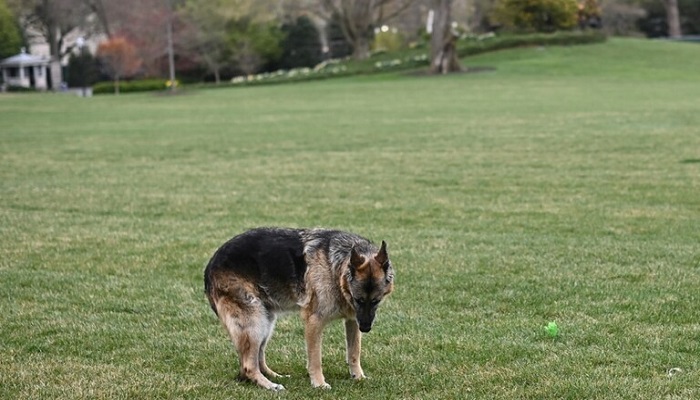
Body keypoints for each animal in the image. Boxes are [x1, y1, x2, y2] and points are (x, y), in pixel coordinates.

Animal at [205, 228, 396, 390]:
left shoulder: (352, 320)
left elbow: (354, 352)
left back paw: (274, 376)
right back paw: (270, 386)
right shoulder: (314, 322)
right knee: (248, 366)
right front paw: (319, 384)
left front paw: (358, 377)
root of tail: (209, 267)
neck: (335, 267)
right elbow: (315, 358)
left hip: (266, 322)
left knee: (258, 358)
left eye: (376, 301)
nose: (366, 328)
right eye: (358, 299)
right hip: (255, 323)